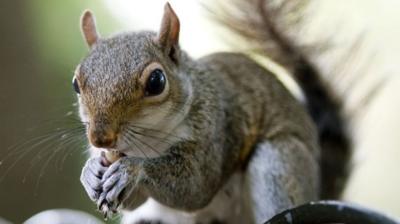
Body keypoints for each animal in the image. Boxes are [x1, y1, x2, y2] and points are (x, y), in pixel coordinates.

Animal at [76, 1, 350, 224]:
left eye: (156, 81)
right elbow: (136, 200)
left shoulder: (216, 127)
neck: (151, 140)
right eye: (75, 84)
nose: (100, 138)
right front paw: (90, 172)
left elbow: (196, 186)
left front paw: (131, 170)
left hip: (280, 162)